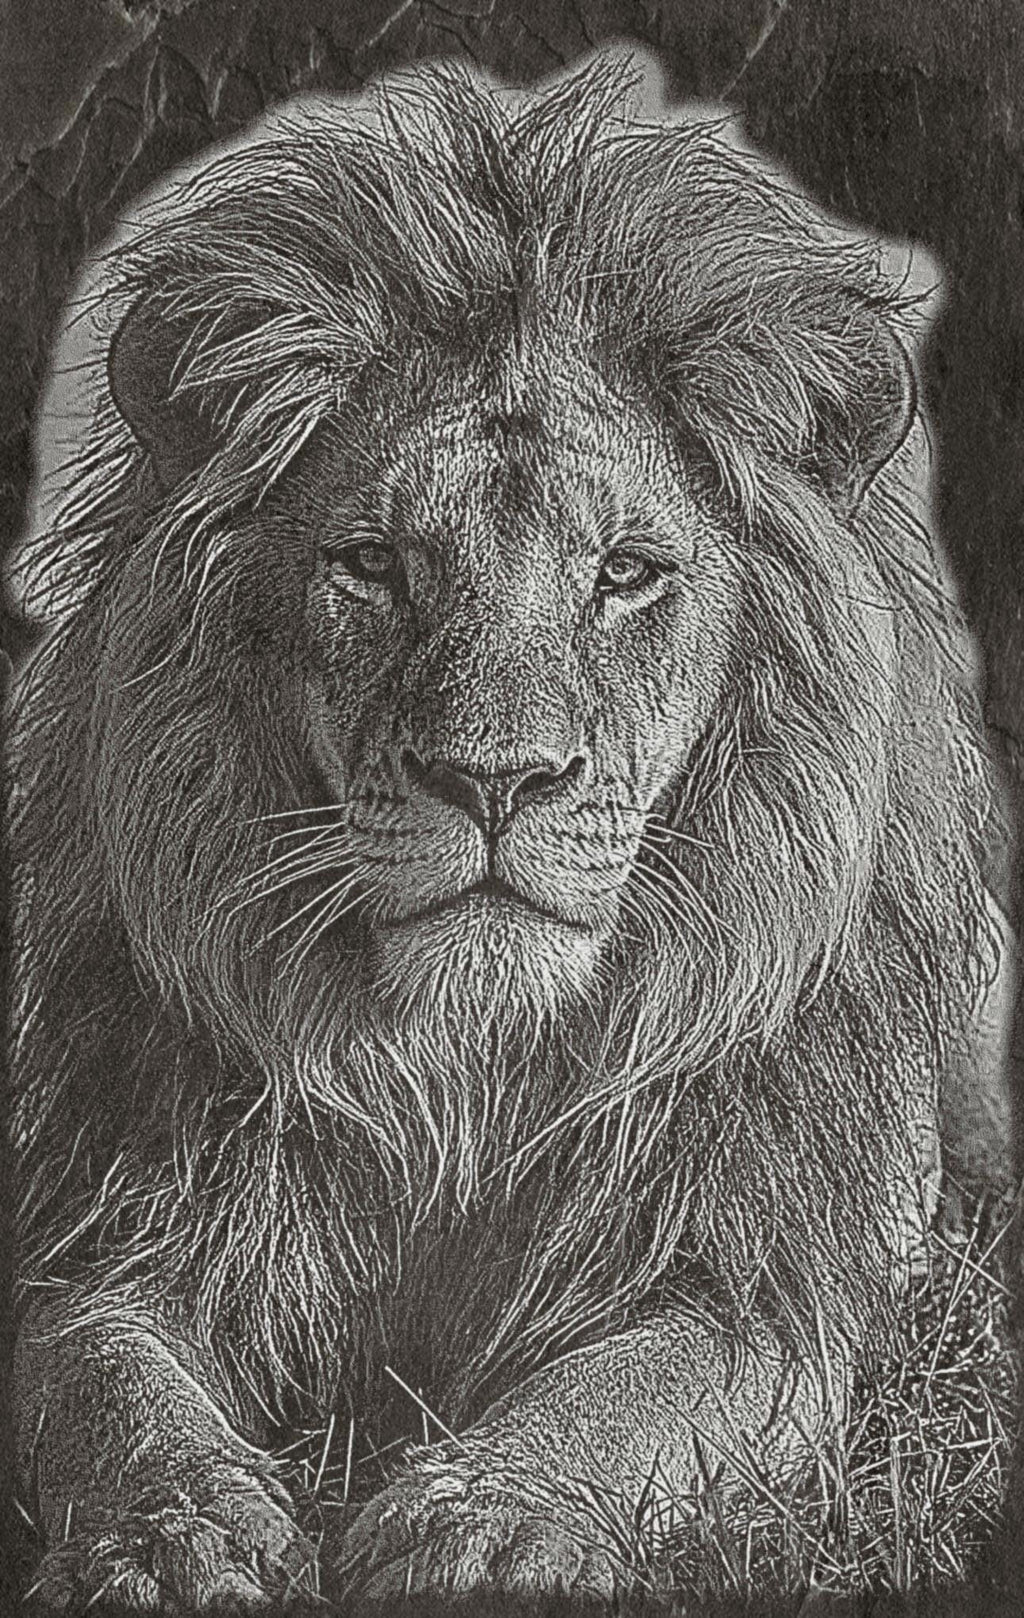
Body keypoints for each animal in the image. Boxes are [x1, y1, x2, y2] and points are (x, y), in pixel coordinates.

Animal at [8, 51, 1015, 1612]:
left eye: (627, 572)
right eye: (372, 565)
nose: (496, 780)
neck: (465, 1076)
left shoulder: (762, 1284)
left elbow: (635, 1389)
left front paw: (489, 1521)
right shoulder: (116, 1220)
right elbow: (96, 1376)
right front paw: (174, 1530)